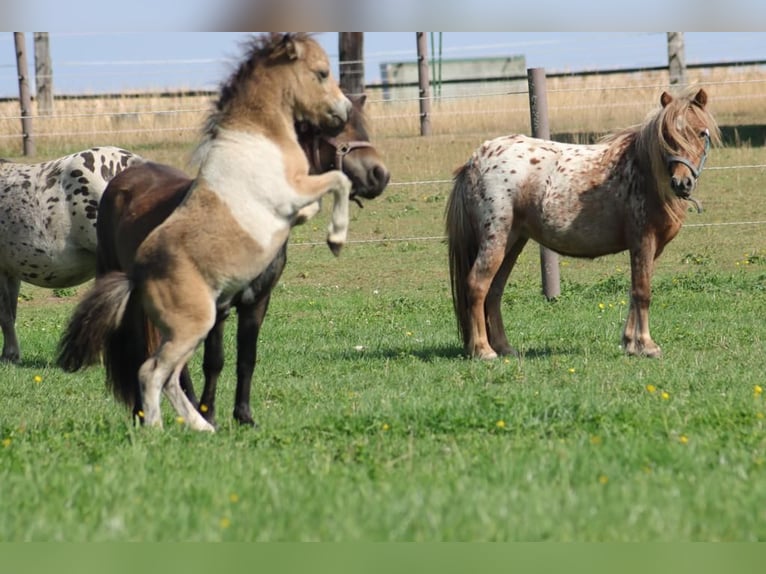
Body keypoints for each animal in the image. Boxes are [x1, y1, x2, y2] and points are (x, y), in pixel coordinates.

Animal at [91, 94, 390, 428]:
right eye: (337, 129)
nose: (379, 174)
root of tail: (122, 181)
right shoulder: (218, 308)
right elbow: (214, 361)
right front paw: (210, 413)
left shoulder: (257, 302)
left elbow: (247, 358)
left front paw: (244, 416)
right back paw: (148, 413)